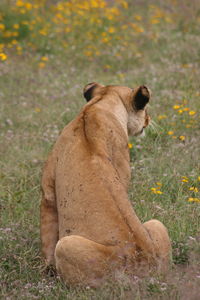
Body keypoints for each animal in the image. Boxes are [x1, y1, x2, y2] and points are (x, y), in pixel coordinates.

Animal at [39, 83, 171, 288]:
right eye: (145, 108)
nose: (148, 119)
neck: (98, 104)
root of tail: (143, 266)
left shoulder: (48, 192)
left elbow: (47, 238)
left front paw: (47, 270)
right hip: (157, 224)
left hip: (66, 245)